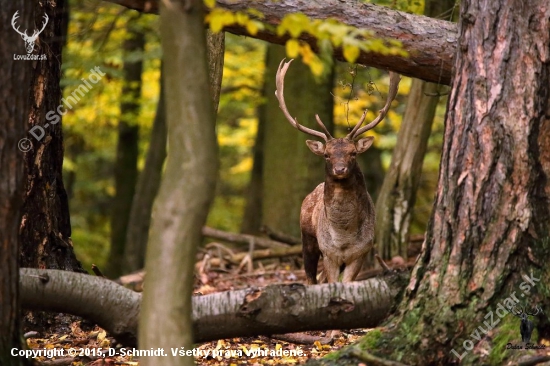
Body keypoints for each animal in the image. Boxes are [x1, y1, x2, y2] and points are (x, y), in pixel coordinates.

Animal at [276, 58, 402, 284]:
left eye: (353, 153)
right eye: (327, 154)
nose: (340, 169)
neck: (343, 238)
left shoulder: (361, 253)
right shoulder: (329, 254)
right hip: (307, 240)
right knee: (311, 278)